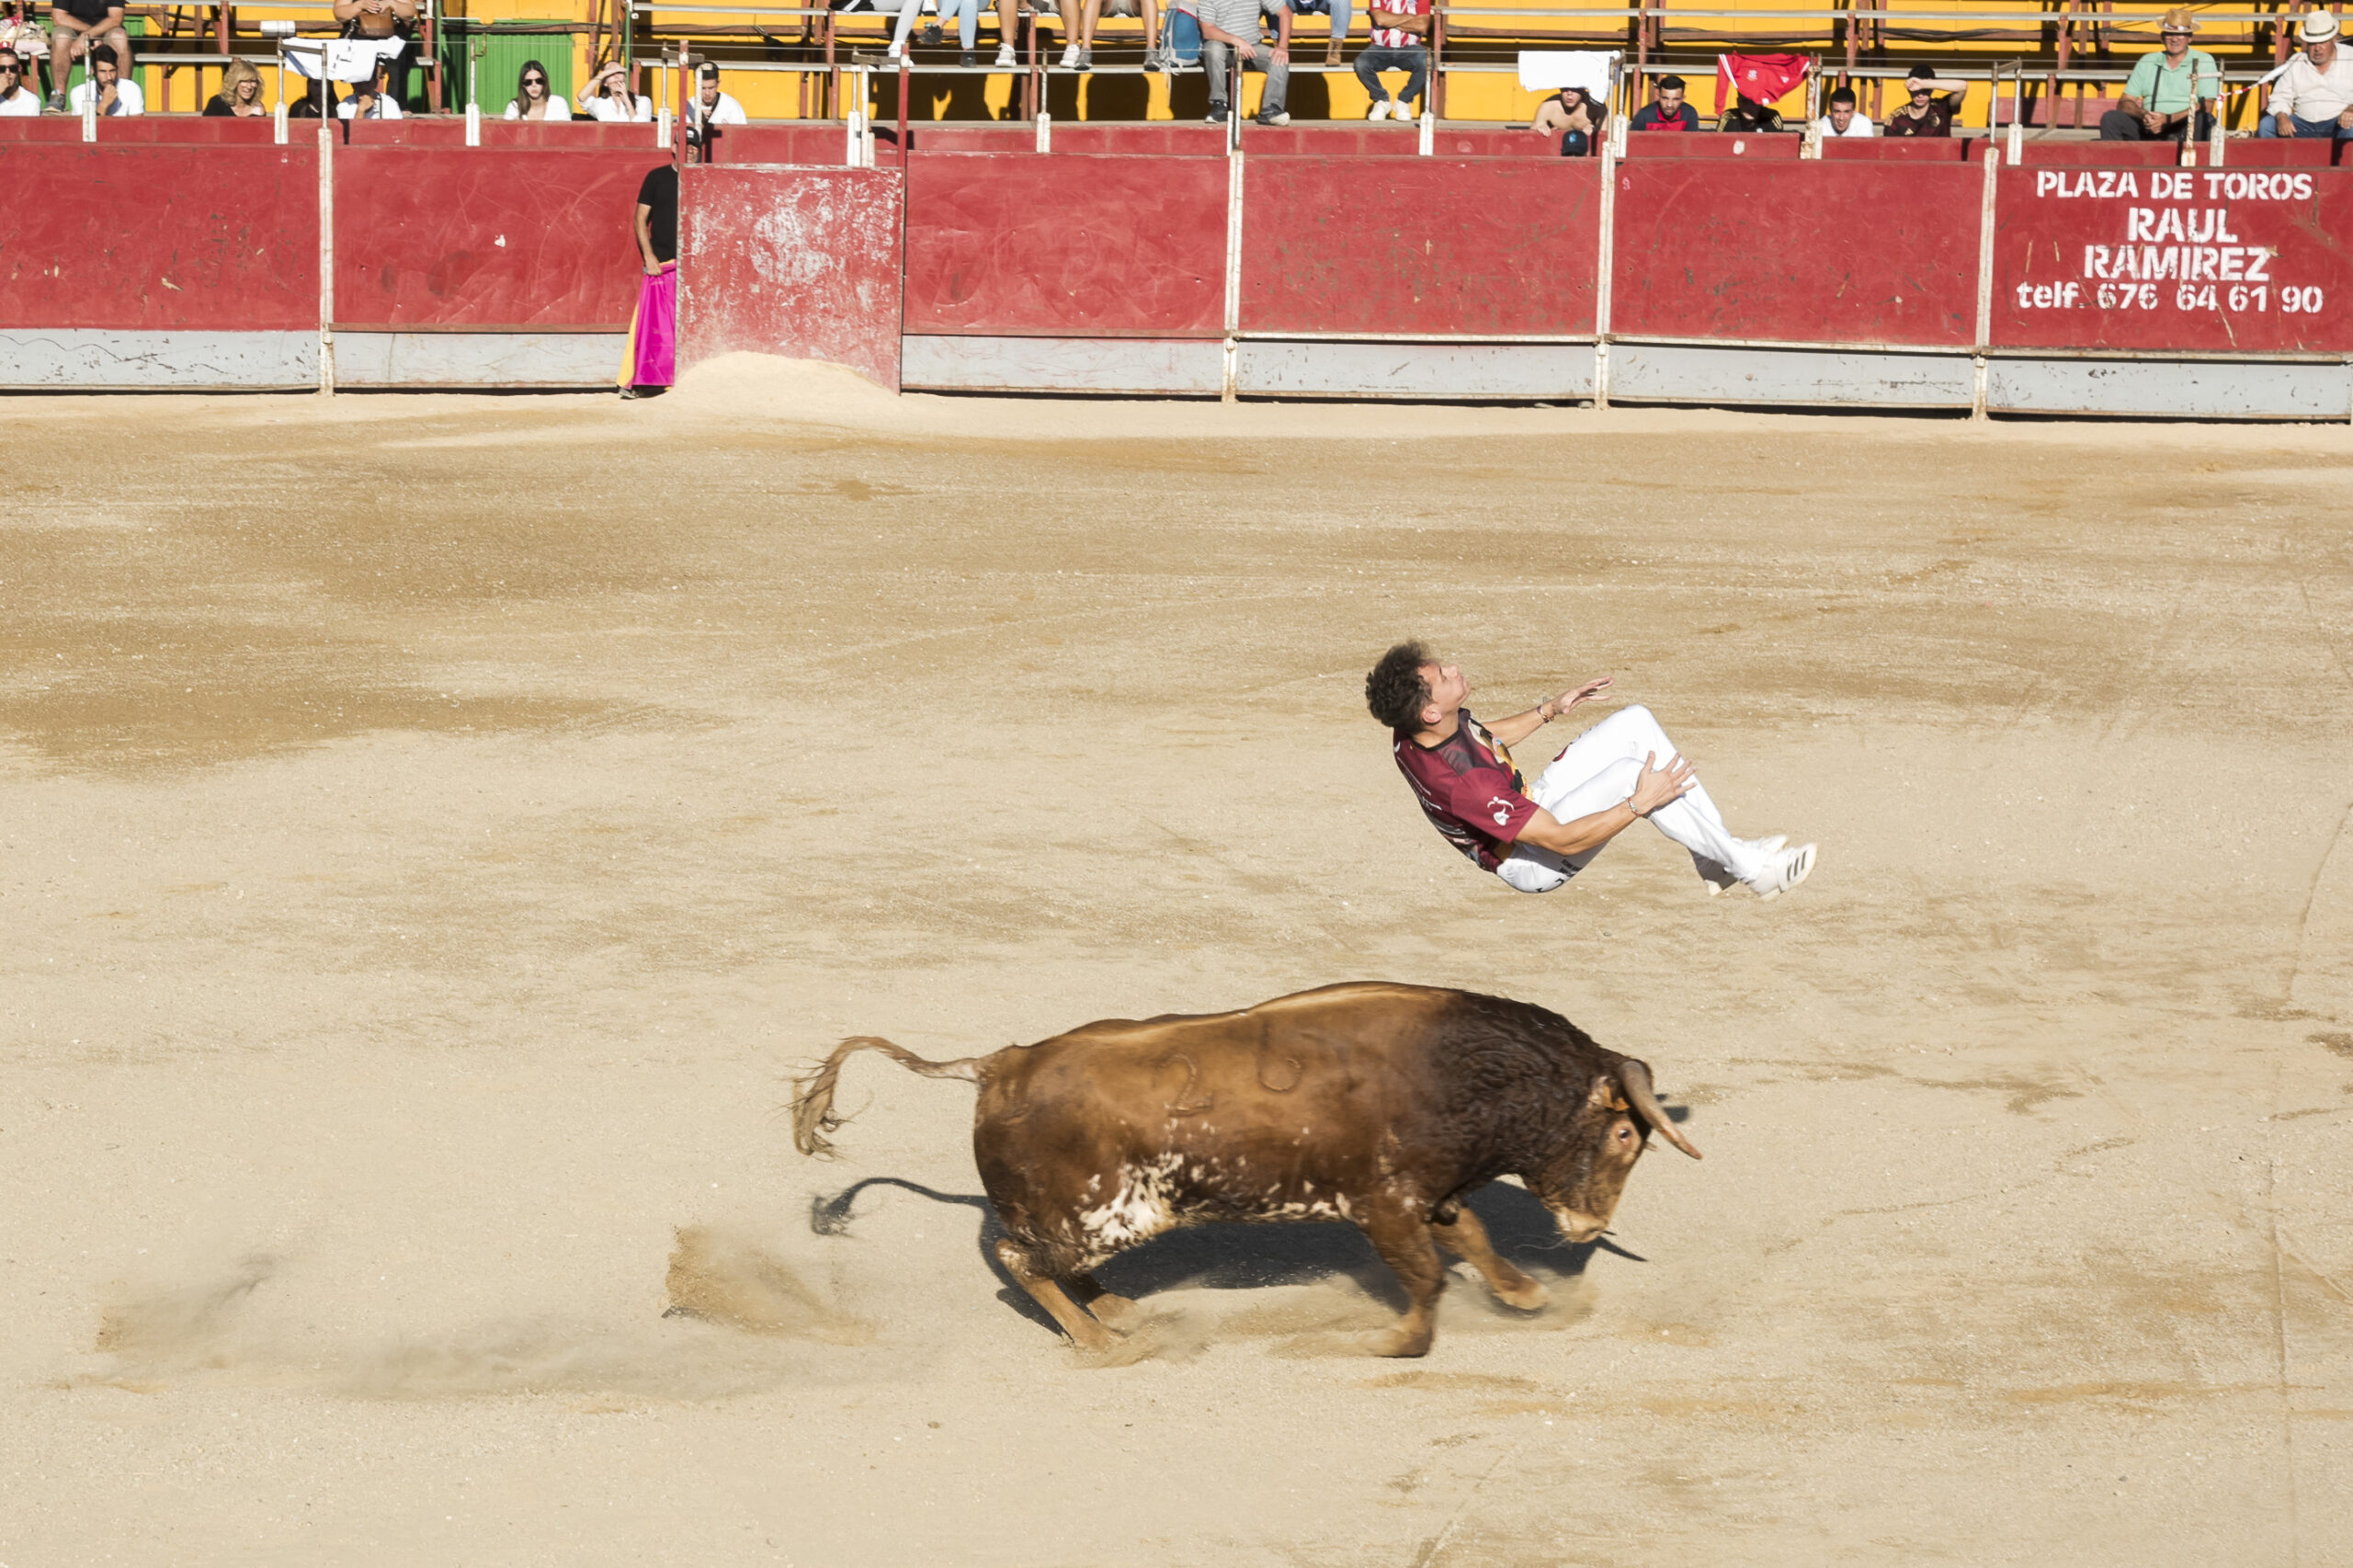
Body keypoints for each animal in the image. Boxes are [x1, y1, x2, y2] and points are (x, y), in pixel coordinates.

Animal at [800, 983, 1703, 1346]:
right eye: (1627, 1139)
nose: (1589, 1225)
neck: (1462, 1069)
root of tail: (999, 1064)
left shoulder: (1430, 1193)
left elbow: (1473, 1236)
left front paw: (1522, 1294)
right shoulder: (1383, 1203)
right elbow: (1426, 1274)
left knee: (1043, 1260)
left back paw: (1113, 1310)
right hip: (1107, 1212)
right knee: (1020, 1259)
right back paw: (1100, 1342)